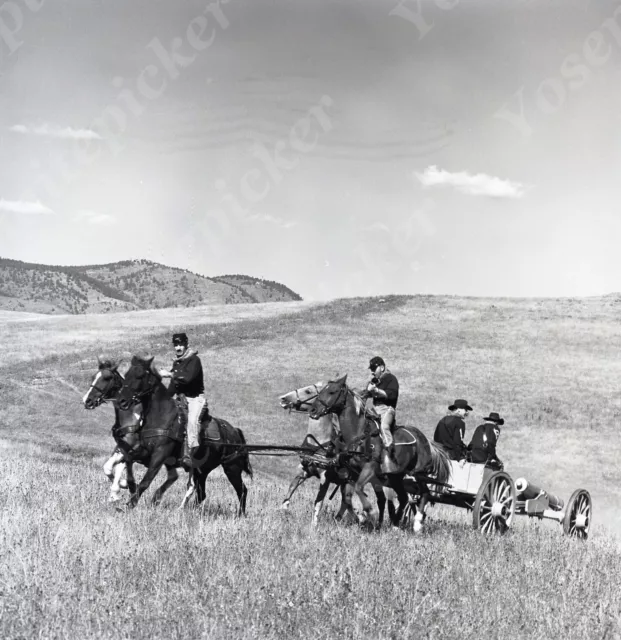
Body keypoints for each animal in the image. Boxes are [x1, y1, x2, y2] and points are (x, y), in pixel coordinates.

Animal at [116, 356, 252, 516]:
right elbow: (128, 459)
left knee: (242, 490)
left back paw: (240, 515)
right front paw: (128, 486)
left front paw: (130, 504)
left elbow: (146, 480)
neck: (161, 416)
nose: (121, 401)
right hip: (203, 470)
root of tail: (235, 431)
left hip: (232, 468)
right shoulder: (145, 452)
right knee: (201, 493)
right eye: (127, 374)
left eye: (140, 376)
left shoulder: (159, 455)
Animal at [312, 376, 448, 528]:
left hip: (419, 475)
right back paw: (395, 524)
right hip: (396, 477)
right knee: (404, 498)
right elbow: (347, 499)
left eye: (332, 391)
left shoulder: (369, 468)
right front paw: (361, 518)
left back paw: (417, 523)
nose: (313, 410)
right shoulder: (352, 473)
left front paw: (370, 513)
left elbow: (359, 488)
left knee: (424, 494)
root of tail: (426, 442)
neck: (358, 434)